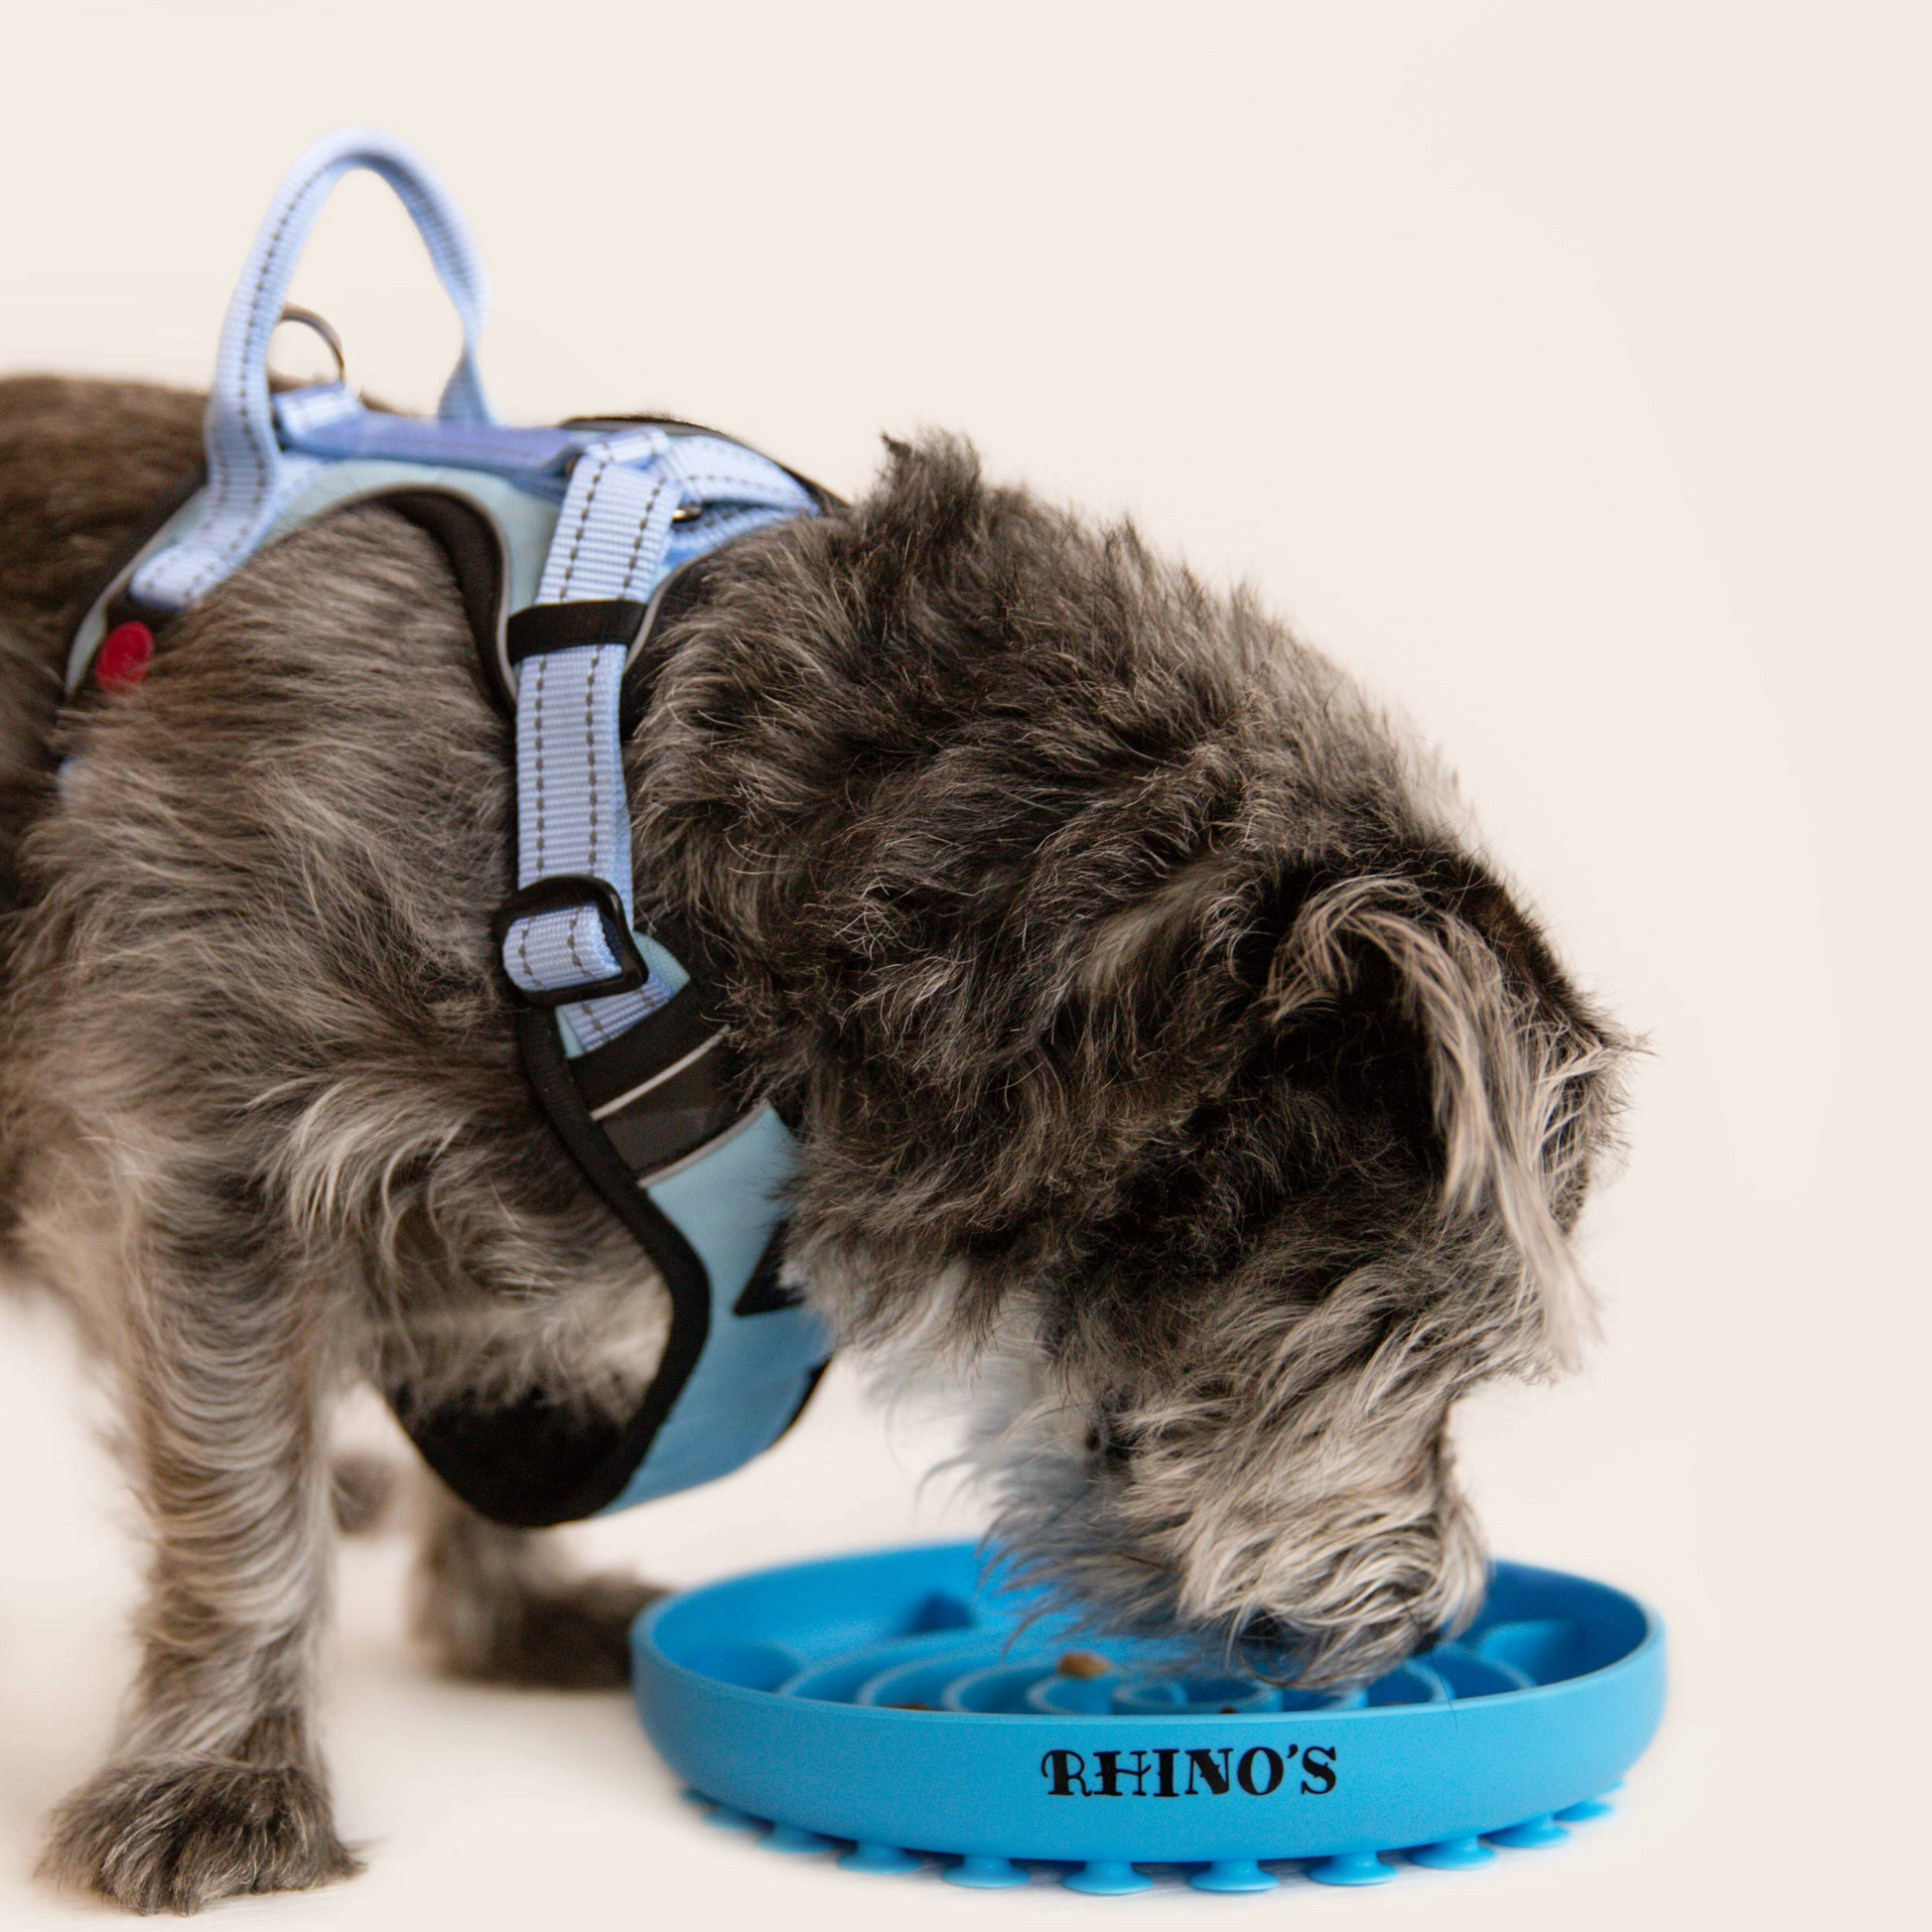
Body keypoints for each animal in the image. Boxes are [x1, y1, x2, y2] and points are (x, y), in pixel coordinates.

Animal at [0, 368, 1630, 1908]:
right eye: (1442, 1355)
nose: (1441, 1615)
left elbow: (509, 1400)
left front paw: (512, 1606)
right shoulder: (216, 1165)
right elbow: (240, 1504)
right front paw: (220, 1780)